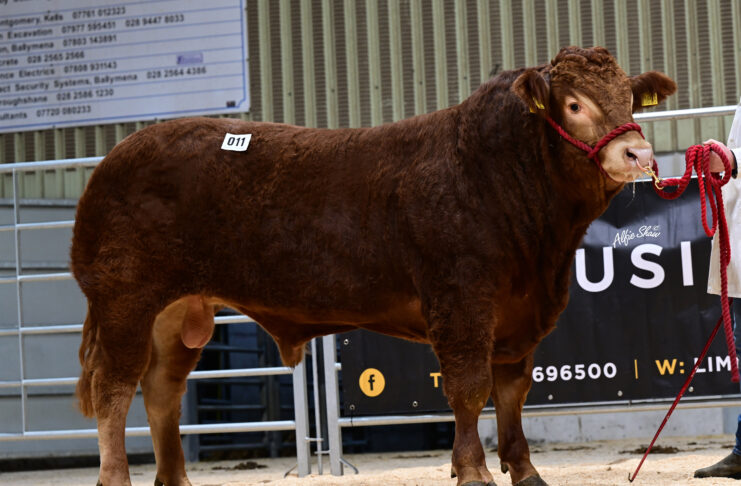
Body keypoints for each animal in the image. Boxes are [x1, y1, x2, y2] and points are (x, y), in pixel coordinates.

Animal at [71, 46, 676, 486]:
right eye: (573, 104)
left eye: (630, 98)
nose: (639, 155)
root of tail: (115, 159)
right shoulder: (460, 303)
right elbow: (468, 389)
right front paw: (473, 471)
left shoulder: (520, 316)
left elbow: (512, 393)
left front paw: (526, 472)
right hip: (125, 300)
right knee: (114, 389)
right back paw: (115, 478)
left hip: (177, 314)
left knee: (162, 392)